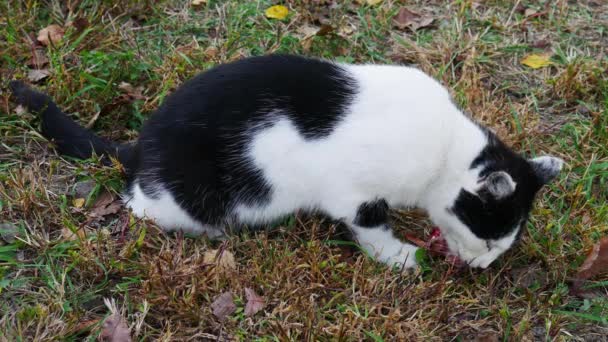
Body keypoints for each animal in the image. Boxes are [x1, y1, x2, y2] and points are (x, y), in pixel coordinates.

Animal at [7, 54, 564, 270]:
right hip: (183, 198)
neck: (446, 147)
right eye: (490, 238)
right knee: (142, 209)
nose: (484, 266)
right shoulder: (354, 192)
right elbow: (370, 227)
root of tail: (141, 145)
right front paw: (399, 256)